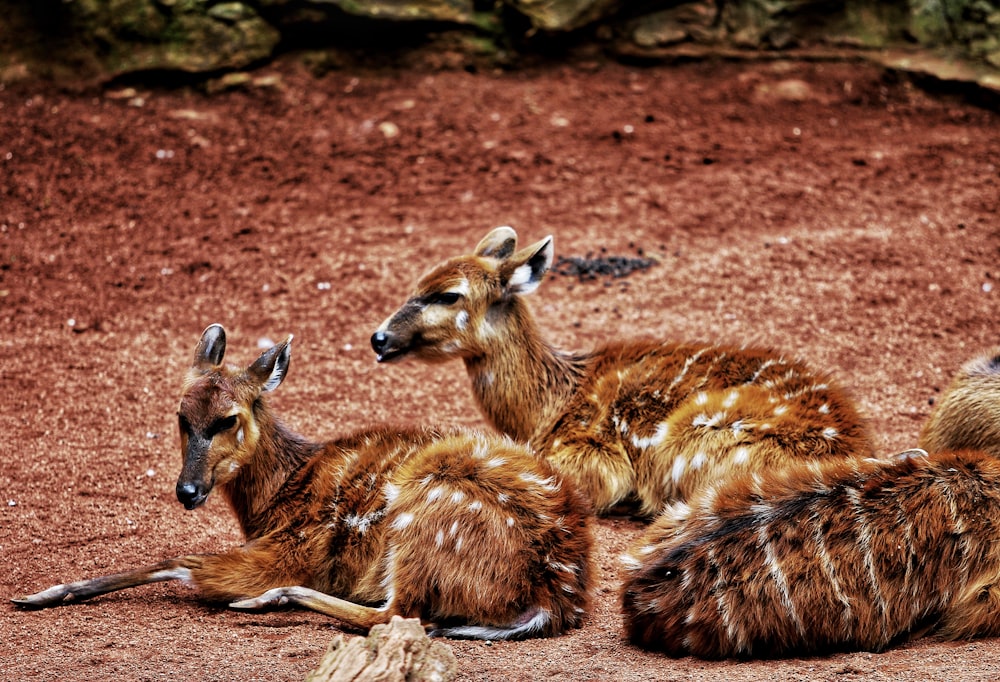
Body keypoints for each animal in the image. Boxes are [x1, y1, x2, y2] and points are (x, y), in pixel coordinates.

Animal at [13, 324, 592, 636]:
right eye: (180, 416)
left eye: (228, 419)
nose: (187, 491)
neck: (279, 493)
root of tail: (556, 592)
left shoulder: (290, 547)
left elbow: (181, 562)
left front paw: (39, 594)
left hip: (424, 514)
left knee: (399, 615)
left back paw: (268, 600)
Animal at [372, 226, 872, 512]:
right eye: (417, 282)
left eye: (448, 295)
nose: (379, 338)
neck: (548, 408)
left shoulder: (592, 456)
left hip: (691, 440)